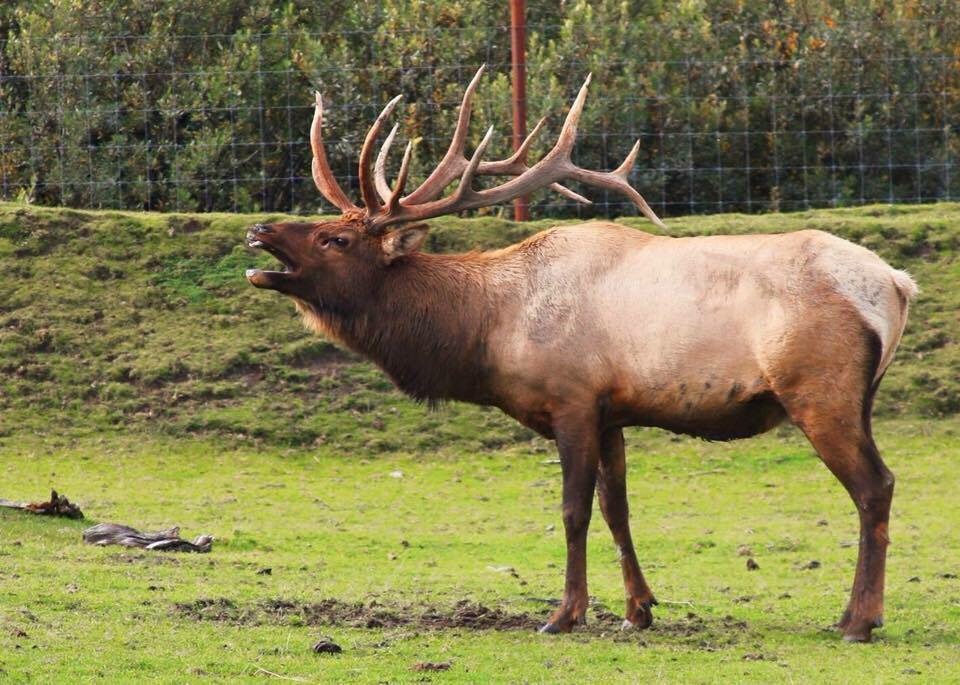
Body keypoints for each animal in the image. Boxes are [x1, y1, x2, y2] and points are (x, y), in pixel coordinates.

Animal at [245, 66, 917, 642]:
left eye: (336, 237)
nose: (259, 231)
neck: (490, 330)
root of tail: (896, 284)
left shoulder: (571, 400)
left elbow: (572, 511)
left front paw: (563, 614)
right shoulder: (611, 412)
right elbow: (617, 510)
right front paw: (638, 609)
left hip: (818, 388)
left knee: (875, 485)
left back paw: (858, 620)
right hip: (859, 396)